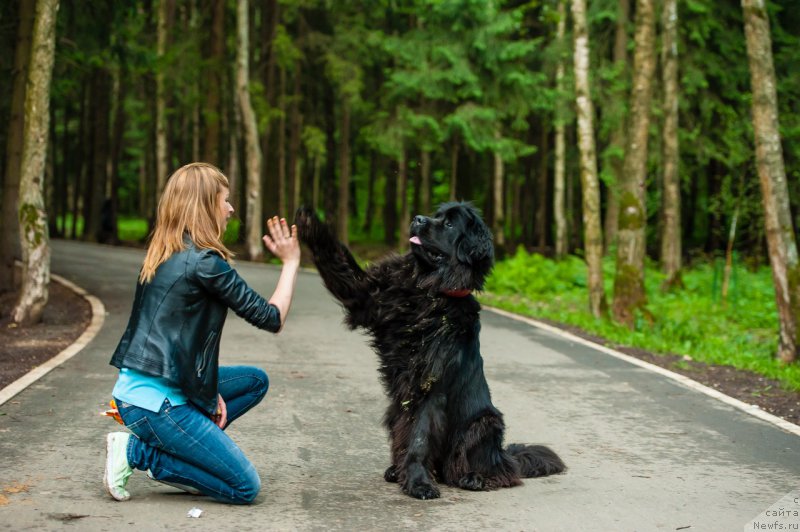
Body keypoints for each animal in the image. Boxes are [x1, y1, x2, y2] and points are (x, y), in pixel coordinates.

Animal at [296, 201, 564, 498]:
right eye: (436, 215)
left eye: (448, 224)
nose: (417, 218)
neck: (428, 290)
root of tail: (504, 454)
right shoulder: (367, 296)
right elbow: (337, 260)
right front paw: (310, 222)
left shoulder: (430, 384)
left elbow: (420, 437)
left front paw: (418, 482)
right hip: (394, 412)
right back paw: (396, 470)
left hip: (485, 423)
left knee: (498, 471)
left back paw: (474, 478)